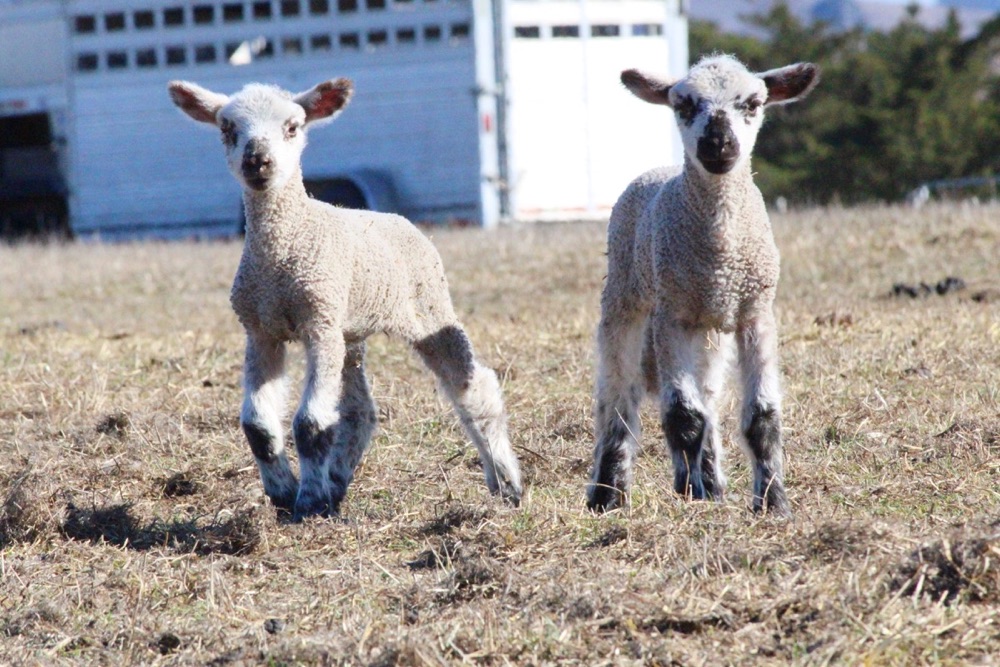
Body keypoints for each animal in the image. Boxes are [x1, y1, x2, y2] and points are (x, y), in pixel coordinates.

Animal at [167, 78, 522, 520]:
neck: (281, 257)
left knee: (472, 385)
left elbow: (310, 425)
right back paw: (336, 484)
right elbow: (259, 426)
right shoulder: (261, 328)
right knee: (359, 412)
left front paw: (307, 503)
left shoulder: (319, 319)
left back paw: (506, 483)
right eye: (227, 128)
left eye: (293, 127)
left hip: (428, 305)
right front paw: (283, 493)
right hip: (350, 330)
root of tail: (397, 219)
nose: (257, 161)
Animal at [586, 54, 819, 516]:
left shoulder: (755, 312)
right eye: (683, 104)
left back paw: (708, 480)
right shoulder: (670, 315)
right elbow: (681, 417)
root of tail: (659, 170)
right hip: (625, 295)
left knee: (707, 397)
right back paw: (608, 493)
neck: (720, 257)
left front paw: (772, 503)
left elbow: (762, 417)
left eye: (753, 103)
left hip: (708, 330)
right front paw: (696, 498)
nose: (717, 144)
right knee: (618, 395)